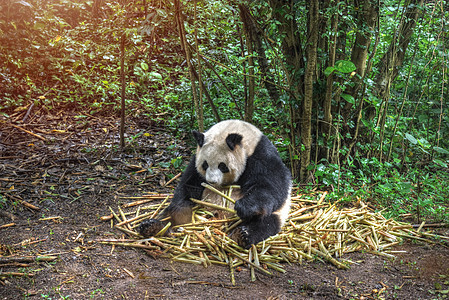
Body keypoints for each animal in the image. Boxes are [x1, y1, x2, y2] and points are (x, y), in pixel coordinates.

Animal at [139, 119, 290, 248]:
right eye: (205, 164)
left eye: (222, 166)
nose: (212, 181)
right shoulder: (195, 162)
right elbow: (188, 185)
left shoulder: (262, 156)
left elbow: (272, 187)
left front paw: (244, 206)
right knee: (172, 213)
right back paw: (152, 226)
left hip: (277, 214)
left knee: (266, 222)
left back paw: (243, 235)